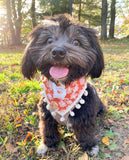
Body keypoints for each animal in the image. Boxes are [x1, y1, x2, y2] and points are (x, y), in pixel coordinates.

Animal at [21, 14, 106, 156]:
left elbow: (85, 133)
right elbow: (48, 130)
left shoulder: (85, 116)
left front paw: (89, 146)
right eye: (49, 40)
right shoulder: (46, 114)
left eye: (76, 42)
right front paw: (47, 144)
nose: (58, 52)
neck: (62, 87)